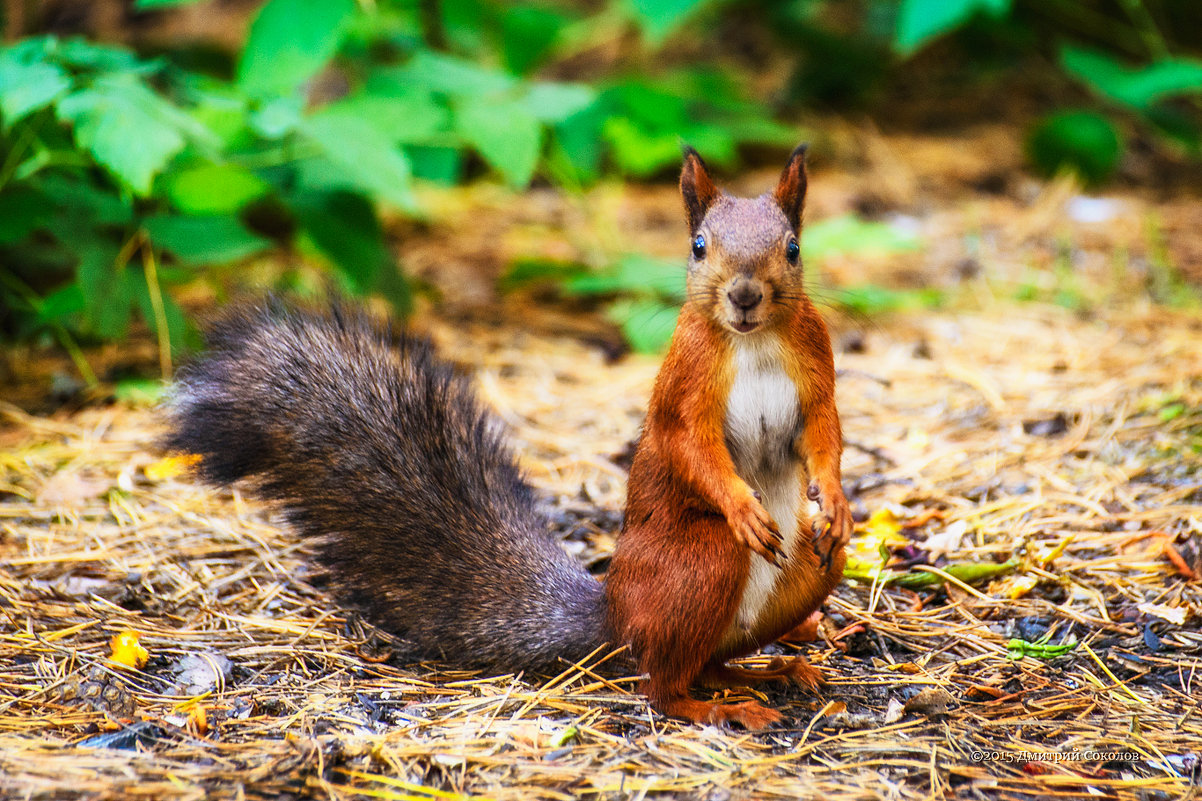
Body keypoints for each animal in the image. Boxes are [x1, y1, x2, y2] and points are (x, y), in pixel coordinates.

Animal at [164, 143, 851, 731]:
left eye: (793, 248)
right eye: (699, 245)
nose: (745, 295)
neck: (751, 342)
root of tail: (615, 615)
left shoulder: (814, 370)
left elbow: (824, 434)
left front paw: (837, 503)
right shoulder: (683, 391)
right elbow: (691, 448)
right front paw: (743, 506)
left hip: (808, 575)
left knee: (713, 658)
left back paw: (772, 669)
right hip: (701, 562)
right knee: (662, 682)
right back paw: (717, 705)